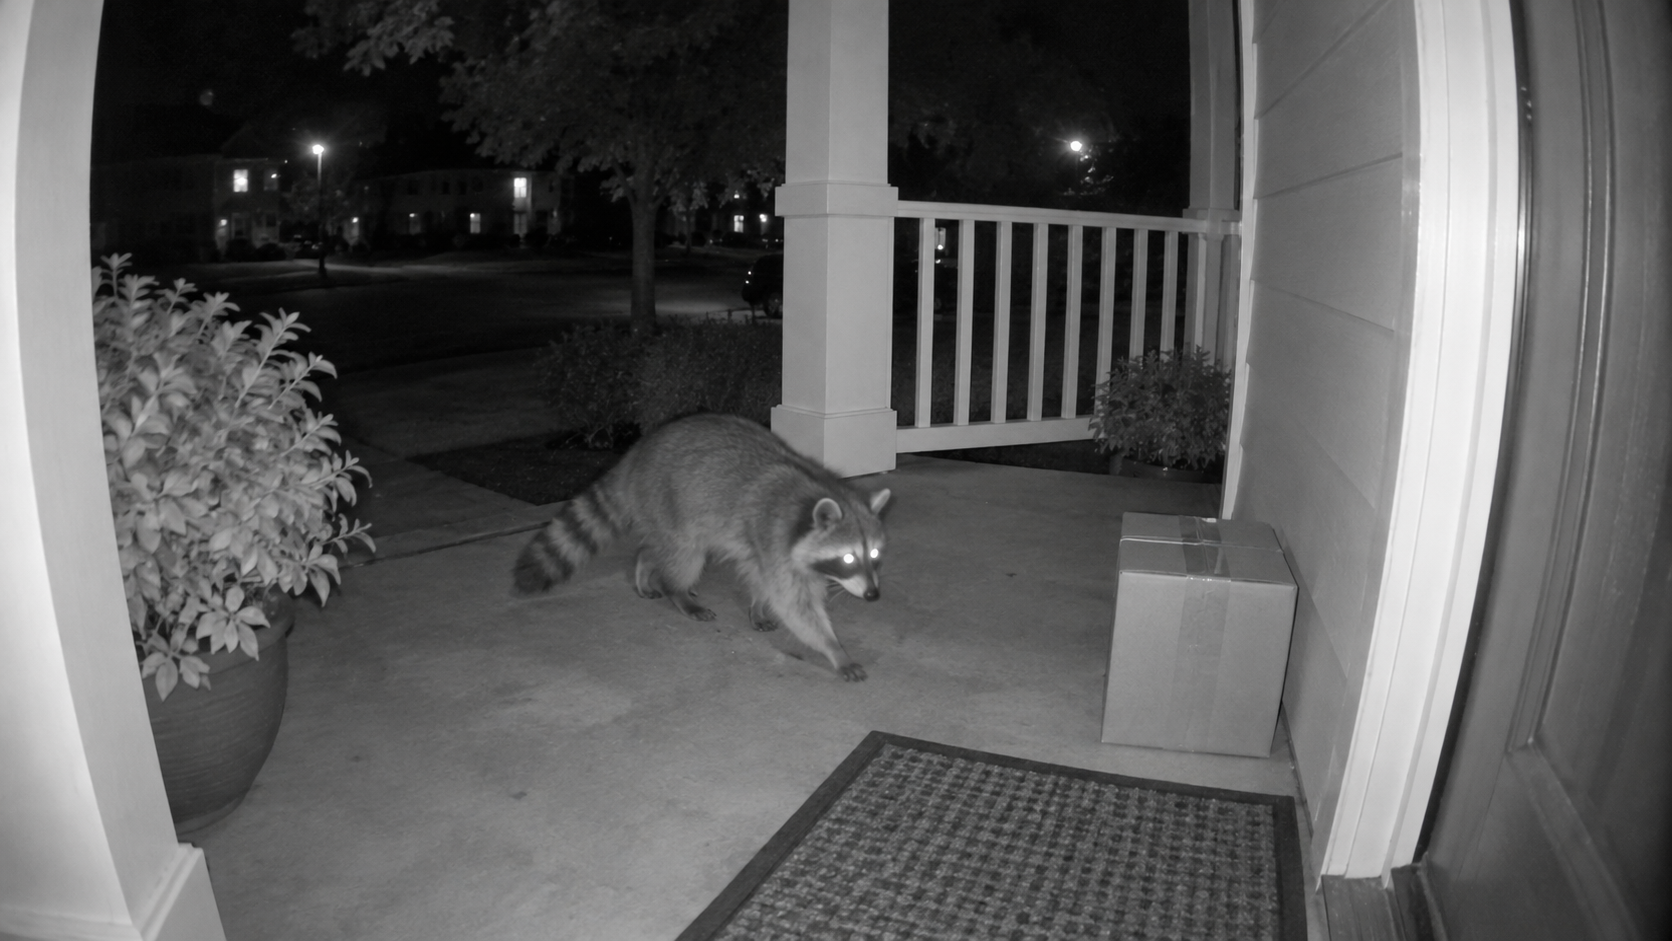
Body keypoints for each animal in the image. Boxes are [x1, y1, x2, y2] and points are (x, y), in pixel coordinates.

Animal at [513, 413, 890, 681]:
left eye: (873, 555)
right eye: (847, 557)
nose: (874, 596)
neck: (812, 494)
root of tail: (636, 453)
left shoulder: (766, 548)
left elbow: (762, 580)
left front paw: (757, 605)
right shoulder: (773, 538)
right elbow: (795, 606)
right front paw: (835, 649)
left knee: (661, 546)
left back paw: (645, 564)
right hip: (668, 498)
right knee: (685, 553)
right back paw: (676, 590)